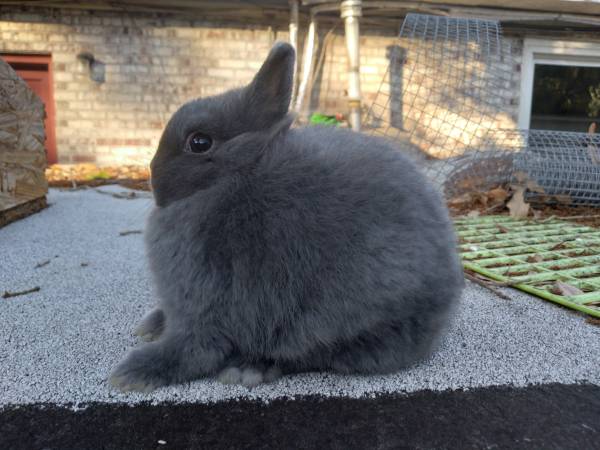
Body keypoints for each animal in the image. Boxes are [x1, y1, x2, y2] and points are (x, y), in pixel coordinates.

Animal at [109, 43, 464, 394]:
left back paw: (248, 367)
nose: (153, 179)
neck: (237, 174)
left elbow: (193, 350)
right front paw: (150, 327)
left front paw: (132, 374)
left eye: (199, 142)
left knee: (313, 353)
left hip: (343, 316)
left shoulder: (204, 300)